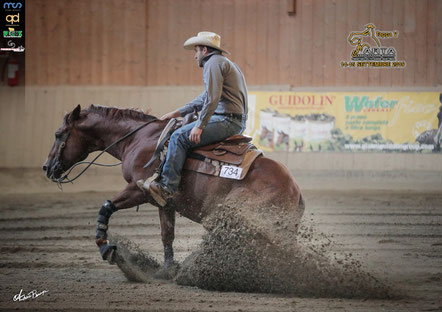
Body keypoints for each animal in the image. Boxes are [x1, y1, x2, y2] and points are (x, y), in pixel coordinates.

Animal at [42, 104, 304, 272]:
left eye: (58, 134)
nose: (46, 167)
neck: (139, 139)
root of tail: (295, 190)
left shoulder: (139, 189)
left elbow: (106, 207)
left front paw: (105, 247)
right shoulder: (163, 200)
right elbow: (167, 234)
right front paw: (168, 268)